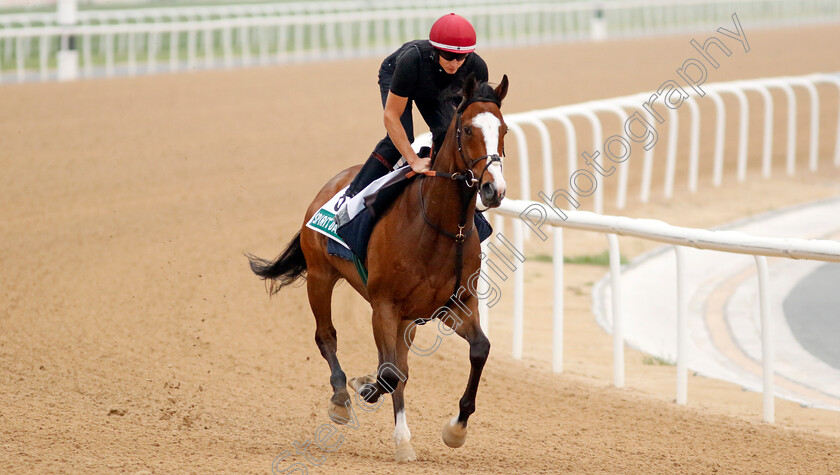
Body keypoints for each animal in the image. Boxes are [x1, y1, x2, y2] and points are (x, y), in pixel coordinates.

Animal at [246, 72, 508, 462]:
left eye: (503, 129)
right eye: (466, 130)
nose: (494, 189)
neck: (439, 227)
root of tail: (332, 183)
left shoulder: (455, 305)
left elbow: (478, 350)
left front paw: (456, 430)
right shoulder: (384, 305)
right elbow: (387, 373)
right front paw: (362, 386)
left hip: (407, 320)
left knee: (401, 366)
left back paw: (403, 439)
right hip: (321, 277)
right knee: (327, 337)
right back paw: (342, 398)